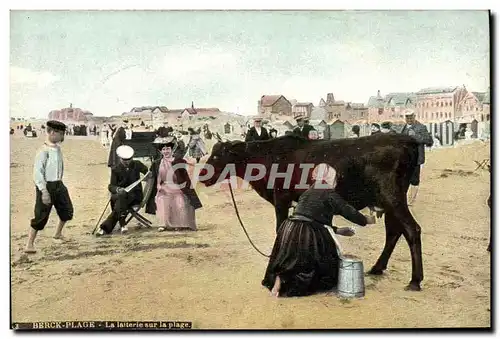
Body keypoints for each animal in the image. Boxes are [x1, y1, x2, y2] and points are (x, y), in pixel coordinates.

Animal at [198, 134, 422, 290]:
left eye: (218, 155)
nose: (201, 176)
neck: (267, 158)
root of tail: (405, 139)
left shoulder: (281, 199)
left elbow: (279, 229)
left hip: (392, 197)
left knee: (412, 229)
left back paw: (415, 280)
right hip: (390, 200)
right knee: (394, 231)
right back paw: (377, 268)